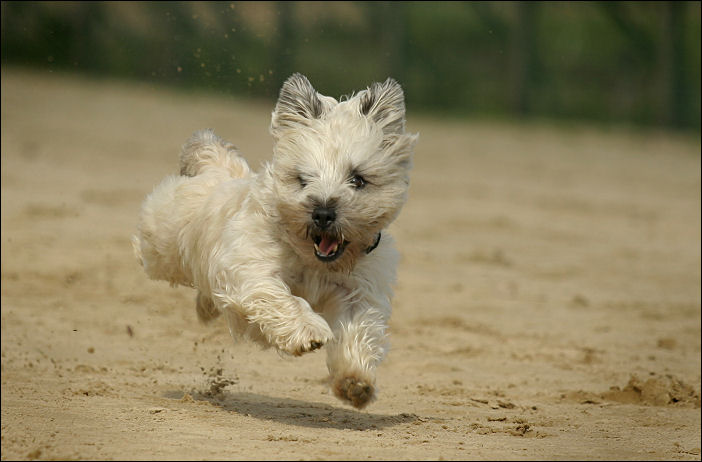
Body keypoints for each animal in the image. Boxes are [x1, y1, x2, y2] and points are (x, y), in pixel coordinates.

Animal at [133, 73, 418, 408]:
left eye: (358, 179)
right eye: (302, 178)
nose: (323, 213)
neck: (312, 260)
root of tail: (222, 171)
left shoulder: (357, 290)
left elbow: (357, 331)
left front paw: (354, 382)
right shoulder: (251, 270)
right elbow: (281, 298)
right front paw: (307, 331)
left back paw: (207, 307)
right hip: (163, 243)